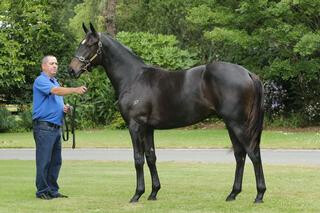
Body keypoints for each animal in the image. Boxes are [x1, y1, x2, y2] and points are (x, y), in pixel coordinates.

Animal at [69, 23, 266, 203]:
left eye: (90, 44)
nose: (71, 70)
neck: (133, 77)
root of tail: (248, 74)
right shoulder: (148, 128)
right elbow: (151, 157)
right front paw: (153, 192)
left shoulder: (135, 125)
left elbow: (138, 159)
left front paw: (137, 194)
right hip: (231, 125)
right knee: (240, 156)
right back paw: (233, 194)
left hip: (238, 124)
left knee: (253, 154)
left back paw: (259, 195)